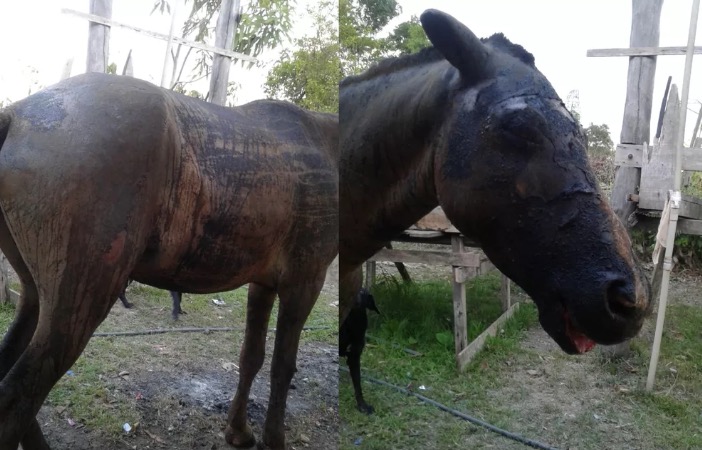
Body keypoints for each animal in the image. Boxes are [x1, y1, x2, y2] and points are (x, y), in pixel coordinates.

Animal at [0, 72, 338, 450]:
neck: (324, 140)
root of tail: (16, 114)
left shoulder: (263, 285)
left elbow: (252, 357)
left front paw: (238, 431)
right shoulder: (305, 280)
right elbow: (283, 366)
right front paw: (273, 438)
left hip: (36, 292)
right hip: (77, 304)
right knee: (17, 397)